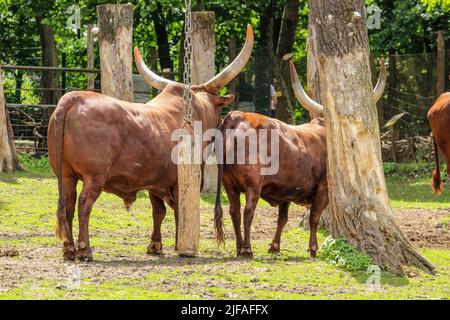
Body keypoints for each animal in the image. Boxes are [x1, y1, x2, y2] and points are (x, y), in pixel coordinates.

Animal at [48, 24, 255, 260]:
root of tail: (72, 98)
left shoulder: (154, 180)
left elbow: (158, 211)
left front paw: (155, 245)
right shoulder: (180, 180)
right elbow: (179, 210)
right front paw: (181, 245)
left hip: (65, 175)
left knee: (67, 204)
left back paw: (69, 248)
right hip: (94, 176)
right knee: (84, 204)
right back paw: (85, 249)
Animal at [214, 58, 386, 258]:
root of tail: (238, 116)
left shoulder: (286, 189)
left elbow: (282, 218)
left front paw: (274, 246)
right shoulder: (323, 189)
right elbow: (314, 218)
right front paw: (313, 248)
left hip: (229, 184)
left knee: (234, 211)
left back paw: (239, 247)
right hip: (253, 185)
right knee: (248, 212)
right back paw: (247, 249)